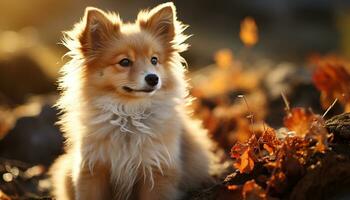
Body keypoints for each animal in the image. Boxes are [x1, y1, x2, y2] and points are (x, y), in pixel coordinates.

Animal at [49, 1, 213, 200]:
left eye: (154, 60)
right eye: (125, 62)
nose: (153, 78)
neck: (128, 114)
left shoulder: (156, 170)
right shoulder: (93, 169)